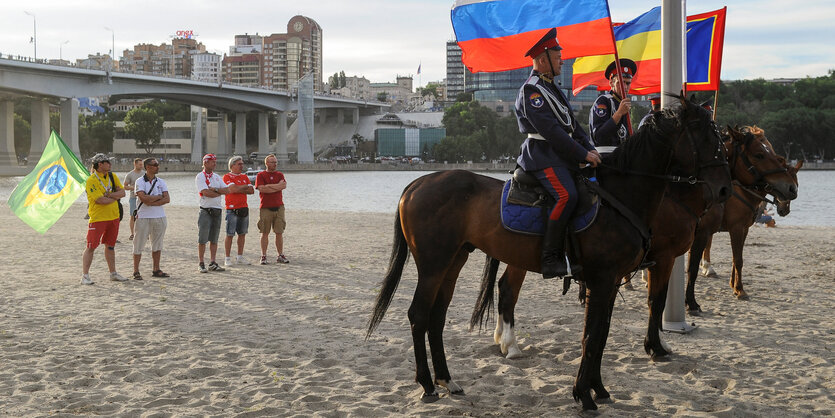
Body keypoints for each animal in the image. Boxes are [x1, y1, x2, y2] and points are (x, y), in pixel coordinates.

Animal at [366, 96, 732, 410]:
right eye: (706, 135)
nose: (724, 189)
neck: (619, 195)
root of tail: (417, 184)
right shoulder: (605, 280)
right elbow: (593, 336)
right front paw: (584, 395)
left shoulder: (611, 282)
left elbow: (600, 336)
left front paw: (598, 388)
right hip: (433, 264)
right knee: (419, 315)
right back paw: (428, 384)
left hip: (454, 261)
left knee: (437, 317)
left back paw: (447, 379)